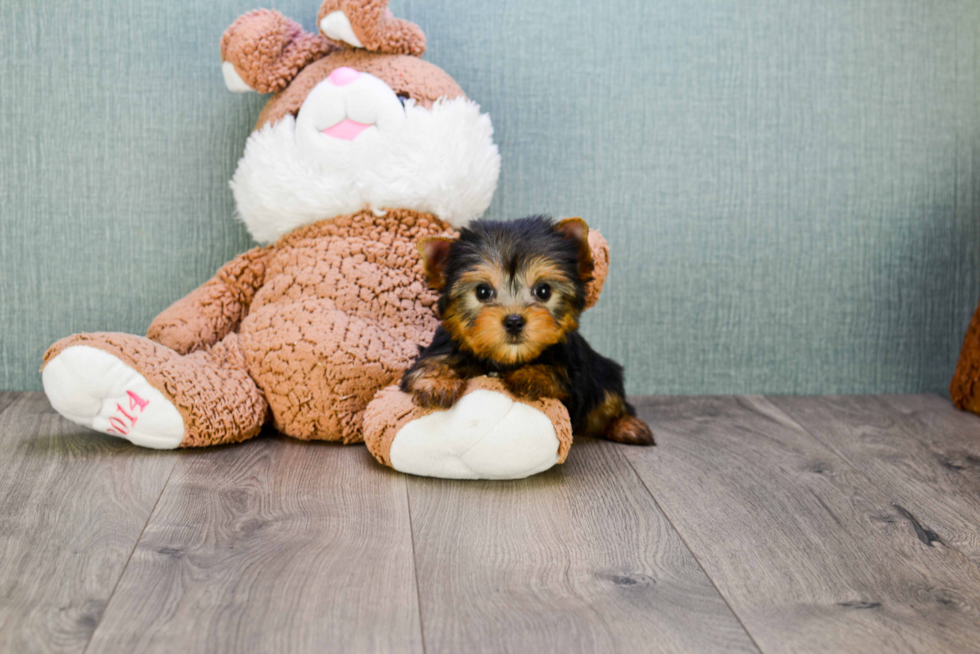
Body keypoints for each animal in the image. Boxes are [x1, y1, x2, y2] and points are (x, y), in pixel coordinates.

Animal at [402, 218, 656, 448]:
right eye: (483, 292)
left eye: (543, 291)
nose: (514, 321)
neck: (505, 359)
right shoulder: (445, 347)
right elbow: (429, 363)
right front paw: (436, 384)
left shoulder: (573, 375)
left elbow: (558, 372)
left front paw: (531, 375)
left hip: (605, 373)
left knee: (610, 398)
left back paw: (628, 426)